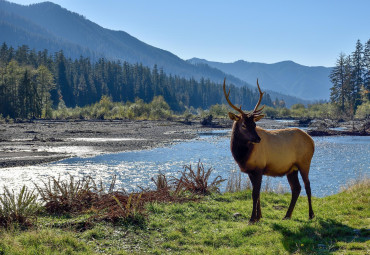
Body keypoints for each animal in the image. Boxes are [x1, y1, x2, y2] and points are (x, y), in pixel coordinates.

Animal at [223, 78, 316, 223]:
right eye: (243, 125)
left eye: (255, 124)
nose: (257, 139)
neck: (242, 156)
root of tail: (312, 141)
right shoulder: (251, 171)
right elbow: (257, 193)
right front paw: (259, 216)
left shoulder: (259, 168)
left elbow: (255, 194)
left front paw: (252, 218)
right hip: (292, 168)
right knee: (296, 188)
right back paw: (287, 215)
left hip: (304, 162)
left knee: (308, 186)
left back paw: (311, 215)